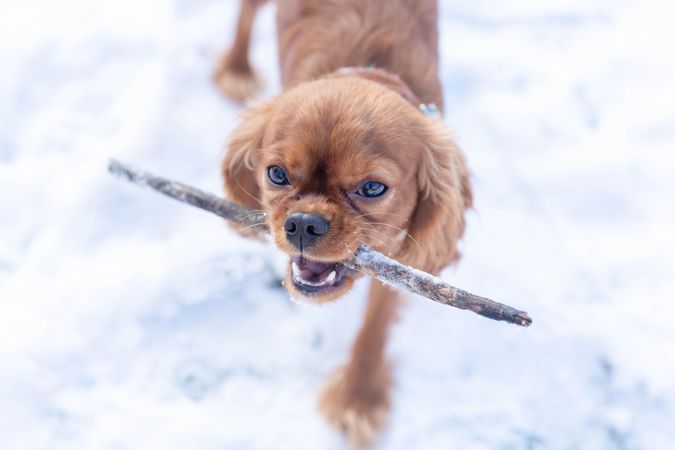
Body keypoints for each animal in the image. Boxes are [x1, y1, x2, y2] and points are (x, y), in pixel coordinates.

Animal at [214, 1, 472, 448]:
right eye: (277, 174)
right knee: (246, 13)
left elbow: (375, 327)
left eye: (372, 187)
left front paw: (358, 398)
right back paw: (236, 66)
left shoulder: (401, 258)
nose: (303, 224)